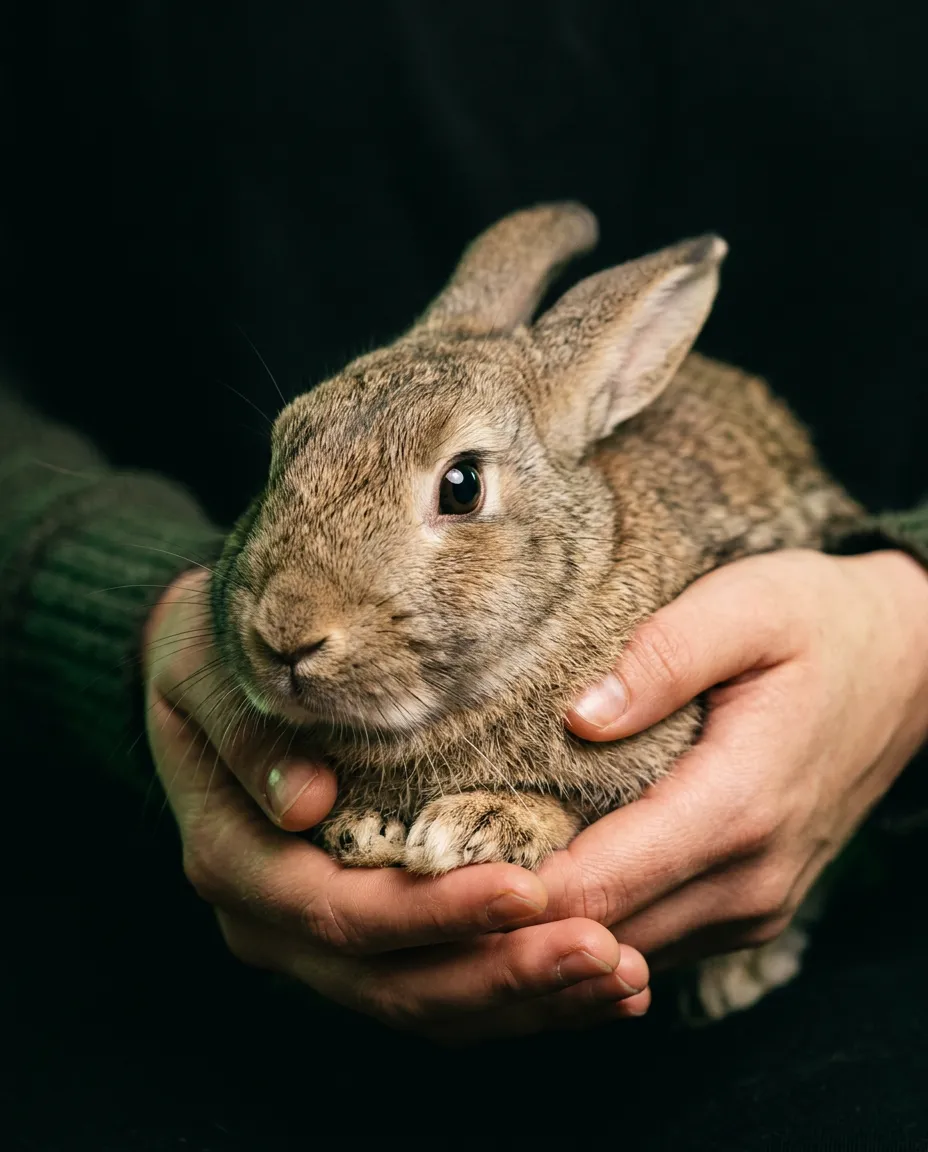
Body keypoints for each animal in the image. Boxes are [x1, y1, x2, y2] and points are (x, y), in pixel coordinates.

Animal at [212, 202, 862, 1020]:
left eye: (462, 486)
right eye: (279, 456)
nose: (284, 636)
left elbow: (575, 808)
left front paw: (477, 826)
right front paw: (365, 827)